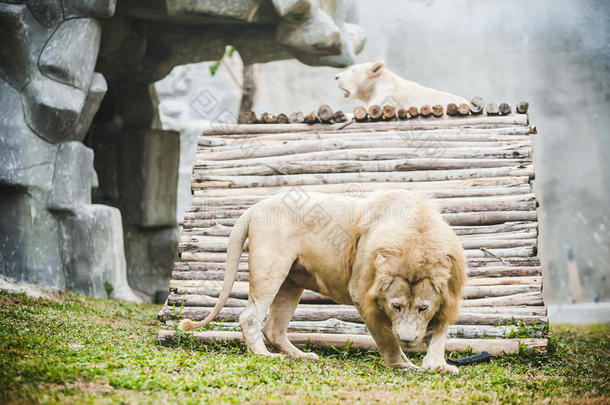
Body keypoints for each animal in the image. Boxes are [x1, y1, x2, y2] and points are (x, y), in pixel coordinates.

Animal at [179, 189, 466, 372]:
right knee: (250, 316)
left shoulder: (449, 293)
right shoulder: (362, 293)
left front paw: (438, 365)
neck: (417, 240)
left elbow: (440, 332)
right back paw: (265, 355)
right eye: (396, 306)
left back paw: (302, 356)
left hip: (291, 282)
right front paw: (403, 365)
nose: (408, 338)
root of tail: (252, 208)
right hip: (271, 267)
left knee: (274, 327)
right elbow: (385, 337)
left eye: (423, 308)